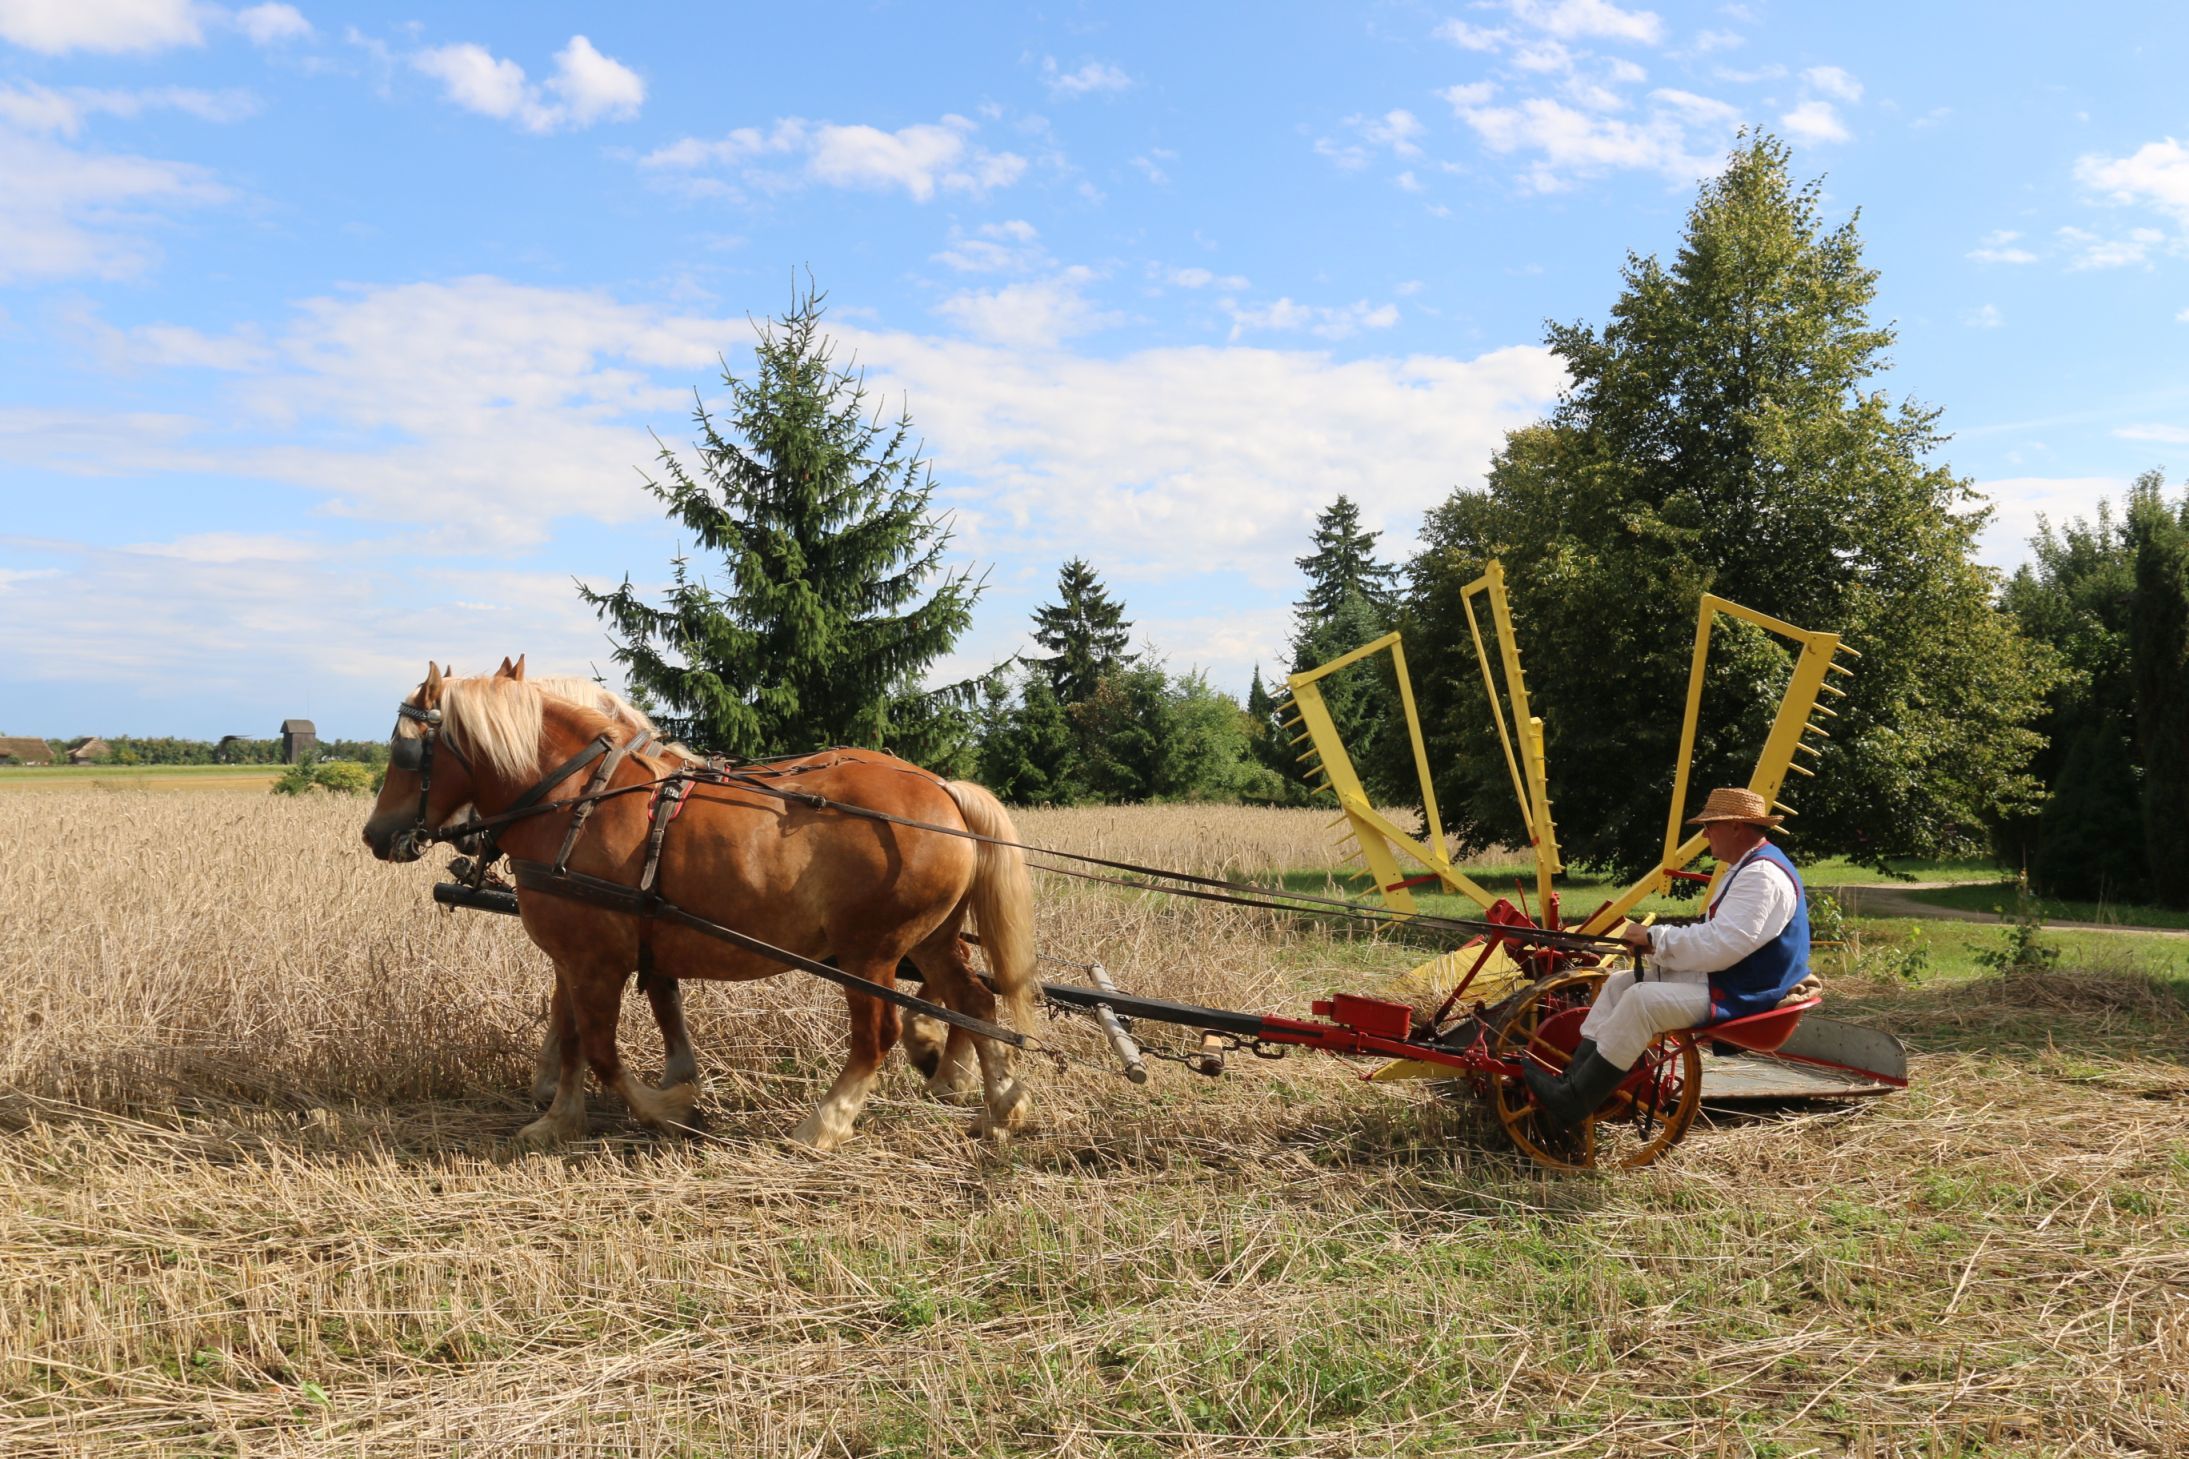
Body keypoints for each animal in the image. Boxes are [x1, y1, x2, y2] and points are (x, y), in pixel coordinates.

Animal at [363, 660, 1037, 1154]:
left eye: (403, 753)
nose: (375, 835)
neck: (577, 800)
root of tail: (944, 789)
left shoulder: (595, 960)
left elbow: (603, 1051)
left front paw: (673, 1109)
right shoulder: (581, 956)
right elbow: (579, 1037)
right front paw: (559, 1119)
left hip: (870, 953)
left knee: (878, 1036)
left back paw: (824, 1124)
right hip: (931, 939)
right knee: (976, 1003)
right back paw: (1000, 1107)